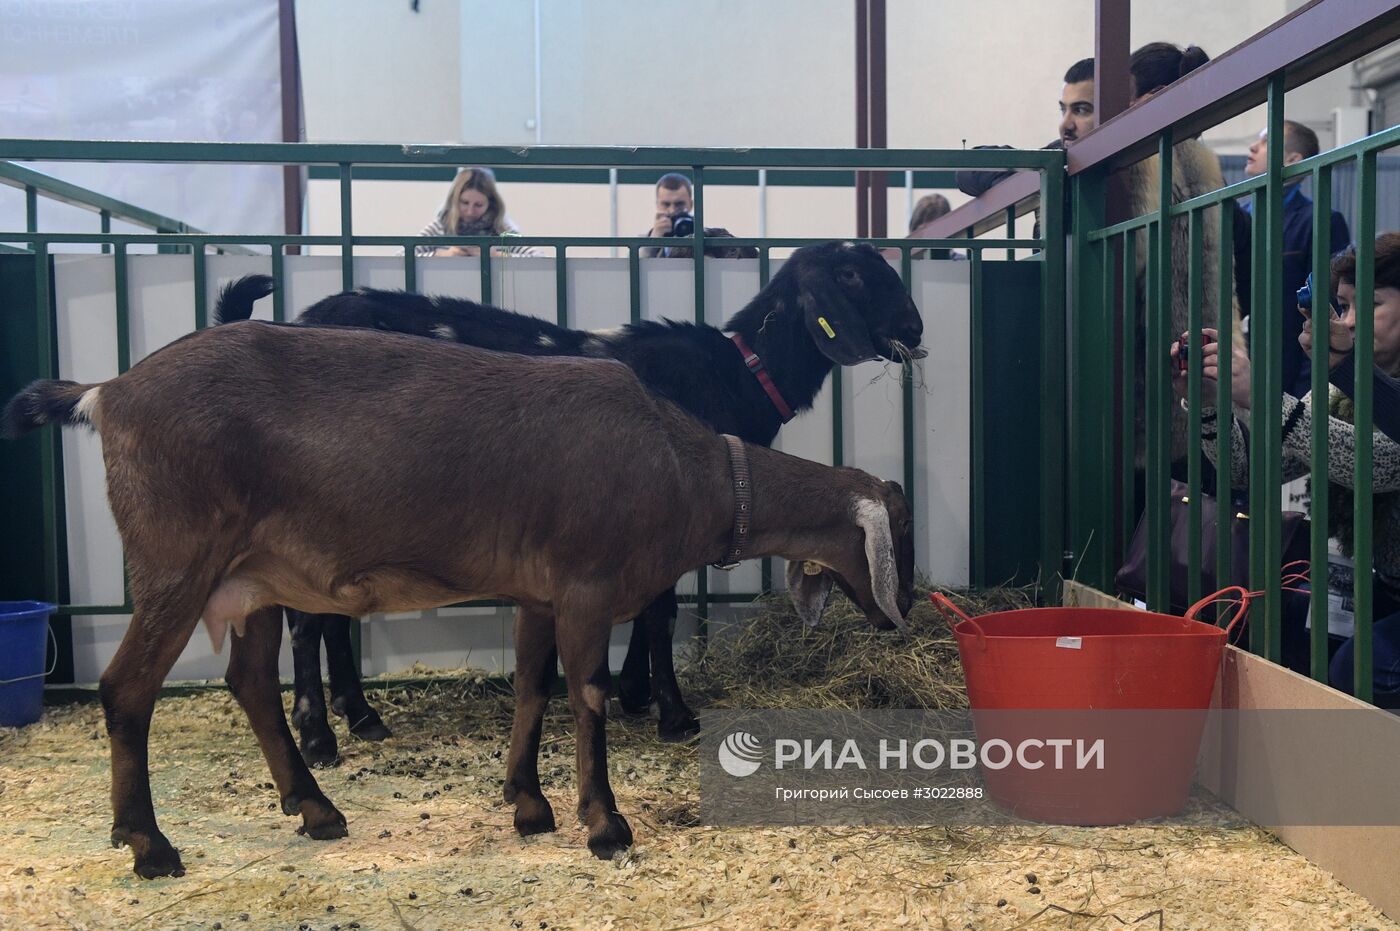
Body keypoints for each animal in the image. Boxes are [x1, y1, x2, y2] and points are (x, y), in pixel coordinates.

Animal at [8, 319, 918, 873]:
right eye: (899, 535)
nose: (901, 617)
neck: (681, 465)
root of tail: (108, 391)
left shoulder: (539, 591)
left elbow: (532, 688)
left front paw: (527, 801)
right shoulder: (585, 583)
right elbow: (587, 695)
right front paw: (604, 823)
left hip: (254, 577)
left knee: (252, 683)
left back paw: (315, 808)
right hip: (177, 556)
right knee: (128, 687)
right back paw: (148, 841)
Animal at [212, 239, 924, 761]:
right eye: (852, 275)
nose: (916, 327)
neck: (736, 375)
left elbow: (648, 605)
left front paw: (635, 693)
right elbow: (661, 613)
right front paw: (674, 713)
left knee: (330, 609)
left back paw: (360, 715)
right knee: (306, 617)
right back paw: (319, 735)